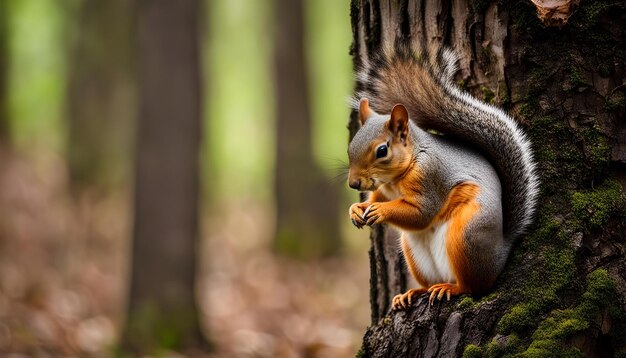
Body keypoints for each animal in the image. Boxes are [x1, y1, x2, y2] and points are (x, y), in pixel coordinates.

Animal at [346, 43, 536, 310]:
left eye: (382, 151)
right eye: (350, 146)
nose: (353, 183)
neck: (397, 178)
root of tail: (502, 250)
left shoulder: (431, 176)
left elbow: (421, 213)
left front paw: (381, 212)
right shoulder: (385, 190)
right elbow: (376, 199)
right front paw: (356, 209)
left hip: (466, 237)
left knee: (473, 287)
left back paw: (451, 288)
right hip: (414, 253)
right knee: (429, 285)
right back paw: (412, 293)